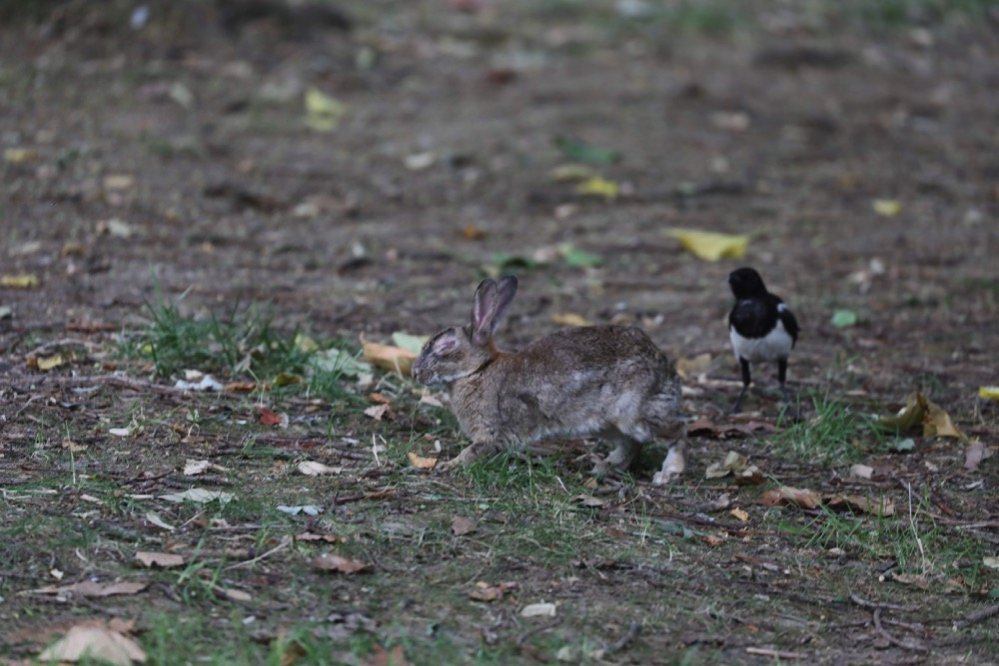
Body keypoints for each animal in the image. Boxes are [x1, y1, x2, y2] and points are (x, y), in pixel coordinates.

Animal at [410, 274, 684, 478]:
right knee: (632, 444)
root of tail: (665, 370)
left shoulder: (490, 431)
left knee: (677, 431)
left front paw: (448, 465)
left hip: (634, 414)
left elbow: (473, 452)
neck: (479, 370)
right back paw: (604, 467)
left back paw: (668, 472)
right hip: (607, 424)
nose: (415, 373)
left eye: (446, 346)